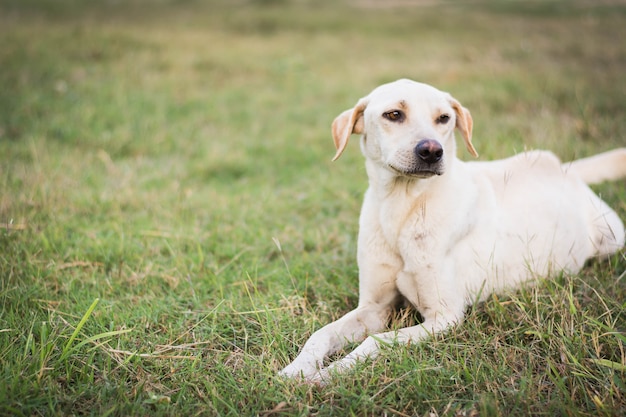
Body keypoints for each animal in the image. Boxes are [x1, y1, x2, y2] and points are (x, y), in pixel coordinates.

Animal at [280, 79, 624, 382]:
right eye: (394, 114)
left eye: (444, 118)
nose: (432, 150)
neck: (402, 207)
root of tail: (561, 166)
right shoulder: (373, 307)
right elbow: (320, 334)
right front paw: (297, 370)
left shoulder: (444, 317)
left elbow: (375, 341)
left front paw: (329, 375)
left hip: (611, 238)